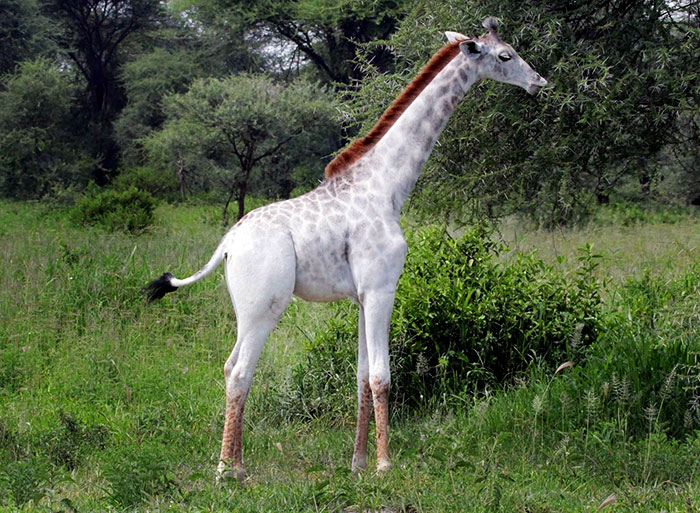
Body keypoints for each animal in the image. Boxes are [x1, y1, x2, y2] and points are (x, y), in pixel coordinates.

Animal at [144, 17, 547, 482]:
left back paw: (238, 466)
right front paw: (385, 465)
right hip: (264, 306)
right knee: (242, 371)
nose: (539, 82)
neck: (387, 187)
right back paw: (225, 472)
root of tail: (227, 243)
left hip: (245, 310)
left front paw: (357, 463)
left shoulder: (360, 297)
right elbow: (382, 376)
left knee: (231, 367)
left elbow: (359, 376)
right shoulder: (381, 289)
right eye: (505, 55)